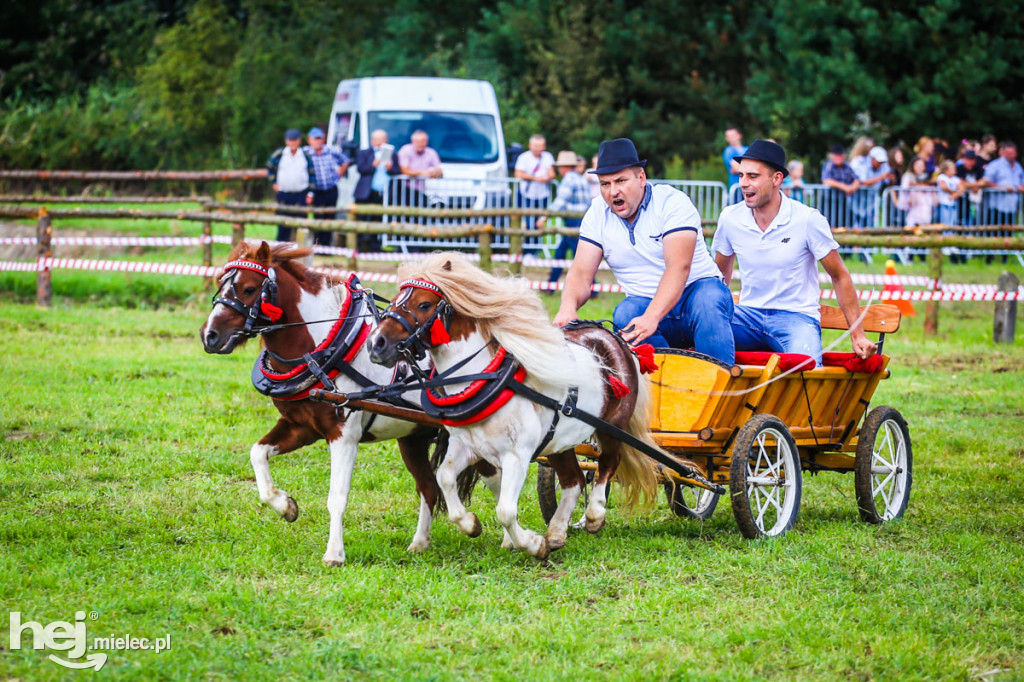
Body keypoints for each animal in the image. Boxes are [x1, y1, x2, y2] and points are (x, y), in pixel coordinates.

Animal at [201, 241, 481, 565]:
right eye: (220, 283)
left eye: (248, 288)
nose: (208, 335)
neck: (322, 350)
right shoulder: (300, 426)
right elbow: (257, 453)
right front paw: (284, 505)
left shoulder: (343, 435)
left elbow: (337, 497)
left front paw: (334, 552)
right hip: (413, 438)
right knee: (428, 487)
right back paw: (420, 542)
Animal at [368, 251, 663, 557]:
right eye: (393, 300)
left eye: (424, 304)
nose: (376, 344)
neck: (486, 378)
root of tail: (614, 338)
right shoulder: (468, 447)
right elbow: (444, 478)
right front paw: (471, 524)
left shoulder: (517, 455)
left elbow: (506, 511)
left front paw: (532, 544)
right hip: (559, 442)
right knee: (574, 481)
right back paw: (557, 532)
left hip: (612, 427)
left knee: (607, 463)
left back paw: (593, 515)